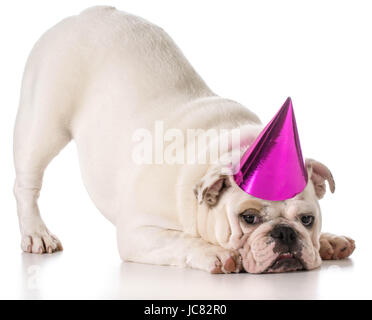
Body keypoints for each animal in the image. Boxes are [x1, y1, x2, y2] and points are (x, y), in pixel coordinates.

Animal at [13, 6, 354, 274]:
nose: (285, 233)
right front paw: (213, 252)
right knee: (26, 184)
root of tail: (86, 14)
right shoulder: (138, 232)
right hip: (43, 125)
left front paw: (328, 240)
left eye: (307, 219)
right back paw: (37, 234)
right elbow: (179, 240)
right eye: (249, 218)